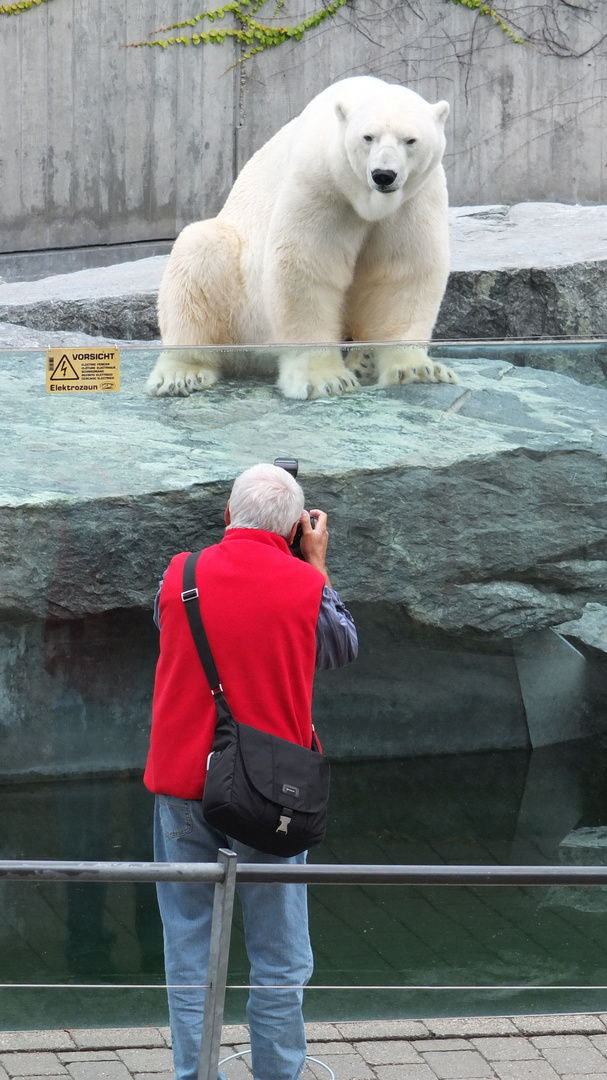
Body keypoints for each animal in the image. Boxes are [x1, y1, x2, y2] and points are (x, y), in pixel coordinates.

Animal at [146, 75, 453, 401]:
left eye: (411, 140)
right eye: (368, 137)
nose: (384, 174)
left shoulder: (414, 198)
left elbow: (404, 271)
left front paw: (418, 370)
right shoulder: (321, 184)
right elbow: (306, 266)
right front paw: (327, 380)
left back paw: (363, 358)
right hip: (240, 304)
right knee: (198, 256)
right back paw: (180, 374)